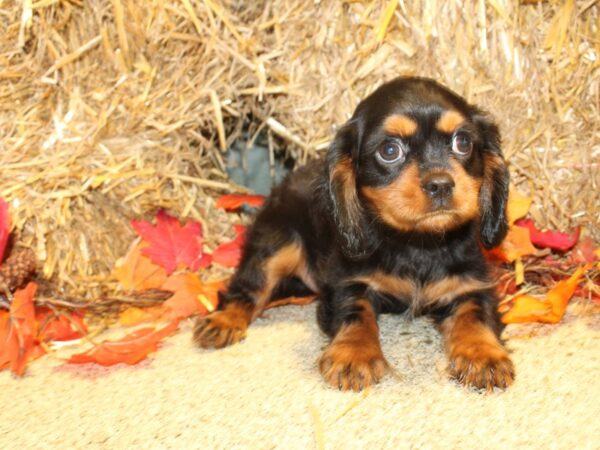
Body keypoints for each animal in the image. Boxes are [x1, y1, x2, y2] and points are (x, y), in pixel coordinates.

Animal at [195, 76, 512, 390]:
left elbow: (475, 315)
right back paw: (223, 322)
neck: (418, 243)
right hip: (277, 242)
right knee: (249, 287)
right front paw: (354, 355)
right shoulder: (346, 280)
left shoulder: (471, 283)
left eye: (463, 142)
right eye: (389, 151)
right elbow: (355, 311)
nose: (441, 184)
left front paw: (484, 355)